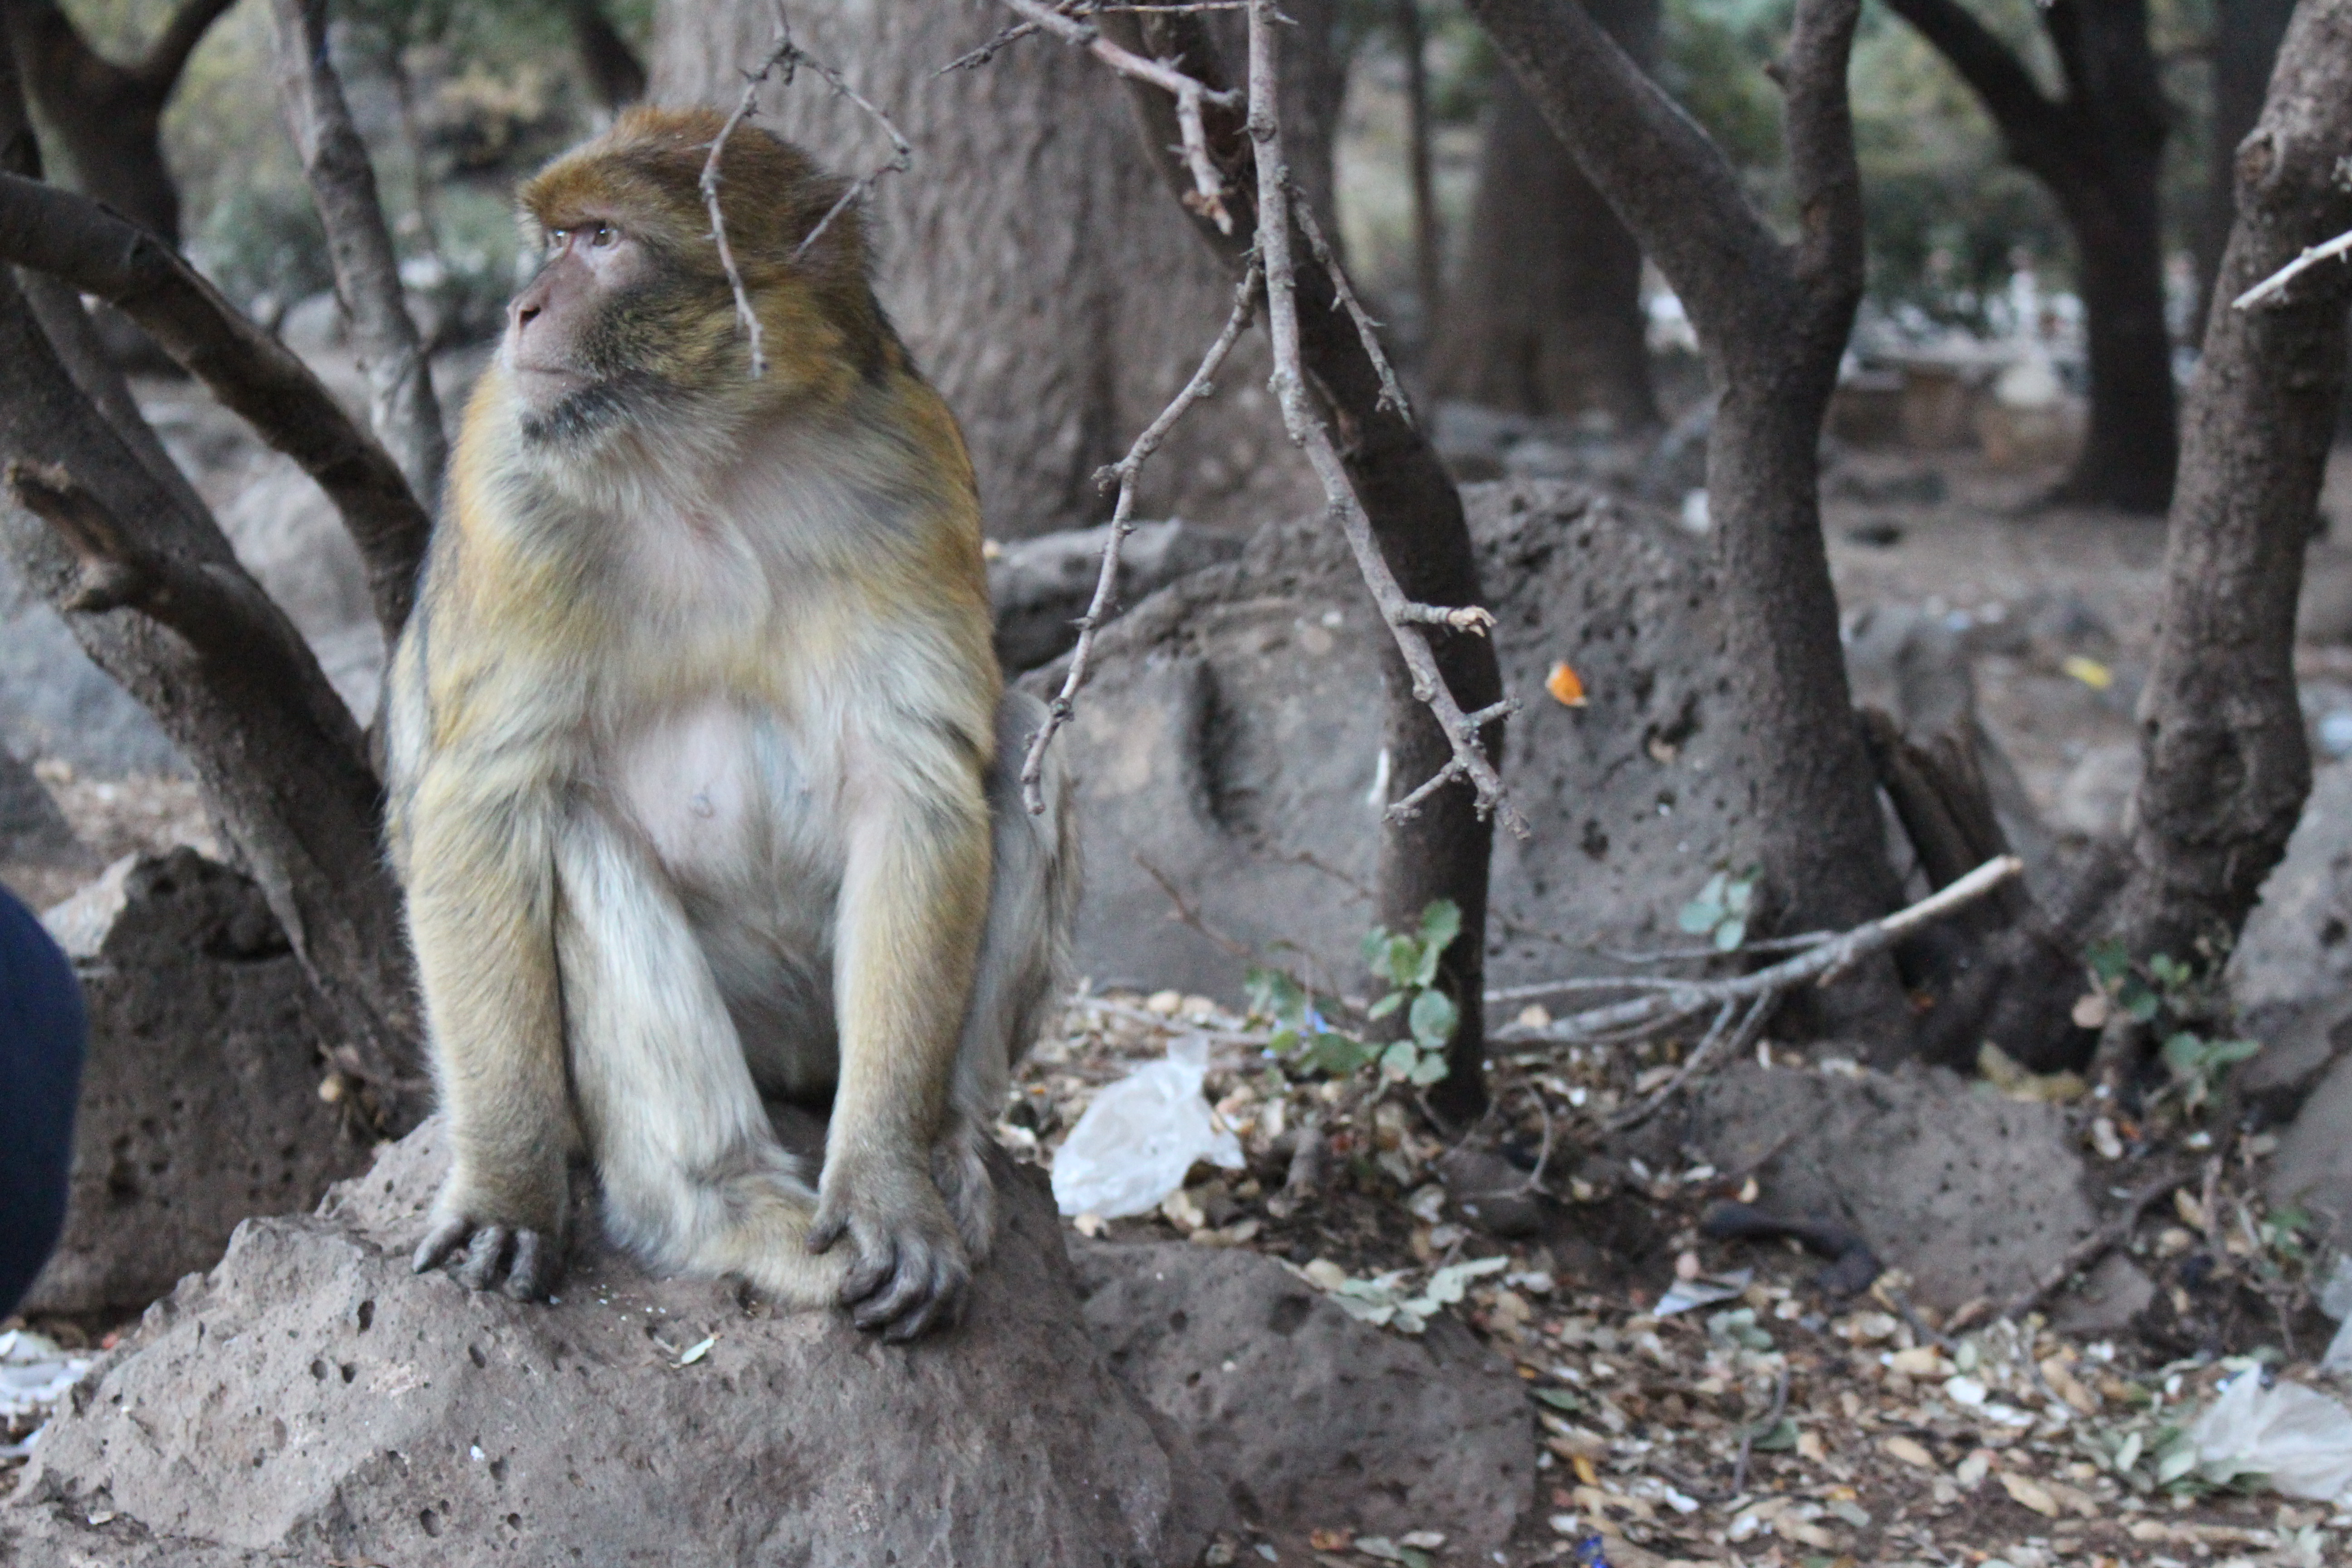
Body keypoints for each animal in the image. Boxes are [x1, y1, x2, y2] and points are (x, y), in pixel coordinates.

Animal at [383, 108, 1077, 1335]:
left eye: (600, 239)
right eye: (553, 237)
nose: (521, 311)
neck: (707, 453)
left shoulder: (913, 464)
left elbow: (917, 782)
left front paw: (887, 1182)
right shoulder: (507, 478)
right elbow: (483, 804)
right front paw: (509, 1186)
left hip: (815, 1039)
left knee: (1017, 751)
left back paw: (943, 1143)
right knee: (569, 828)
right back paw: (722, 1207)